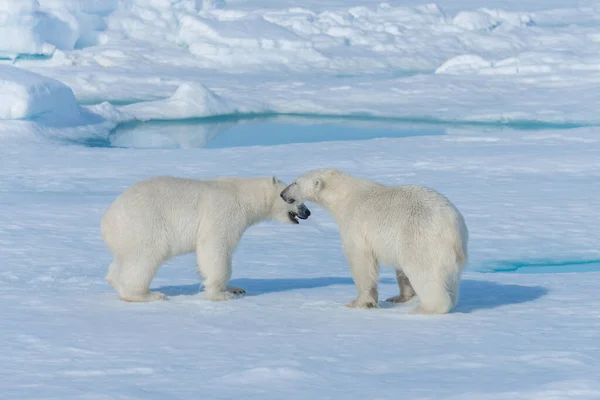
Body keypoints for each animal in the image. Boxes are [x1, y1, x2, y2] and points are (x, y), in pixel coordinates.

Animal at [99, 177, 310, 302]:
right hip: (146, 225)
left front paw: (236, 289)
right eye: (291, 199)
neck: (243, 194)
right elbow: (215, 248)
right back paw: (147, 294)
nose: (307, 212)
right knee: (145, 257)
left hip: (126, 236)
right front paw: (222, 294)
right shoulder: (223, 213)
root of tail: (107, 218)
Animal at [282, 167, 468, 314]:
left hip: (421, 239)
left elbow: (361, 261)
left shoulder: (355, 224)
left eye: (295, 182)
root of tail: (454, 228)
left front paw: (358, 302)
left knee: (424, 272)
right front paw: (398, 297)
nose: (282, 193)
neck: (344, 196)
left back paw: (424, 308)